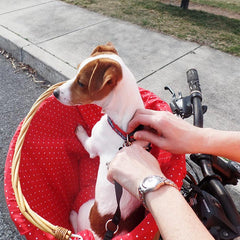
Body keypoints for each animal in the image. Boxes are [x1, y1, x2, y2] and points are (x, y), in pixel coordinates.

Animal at [53, 42, 145, 239]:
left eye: (81, 83)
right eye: (76, 69)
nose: (55, 93)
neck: (124, 128)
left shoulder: (92, 146)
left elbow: (84, 139)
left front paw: (80, 130)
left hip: (84, 208)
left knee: (77, 226)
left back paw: (72, 216)